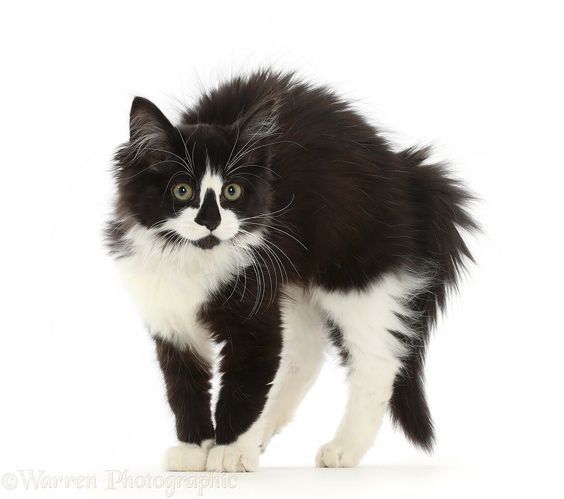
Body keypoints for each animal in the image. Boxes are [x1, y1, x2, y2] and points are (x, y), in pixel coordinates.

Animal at [104, 68, 476, 470]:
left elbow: (245, 385)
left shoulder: (254, 318)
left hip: (355, 277)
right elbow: (183, 388)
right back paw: (263, 434)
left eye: (232, 192)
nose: (211, 222)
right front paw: (194, 449)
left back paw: (343, 447)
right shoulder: (171, 322)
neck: (192, 258)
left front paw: (230, 450)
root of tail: (405, 169)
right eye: (182, 190)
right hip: (297, 287)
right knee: (305, 355)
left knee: (377, 361)